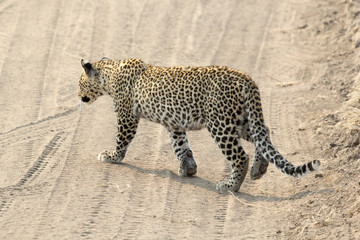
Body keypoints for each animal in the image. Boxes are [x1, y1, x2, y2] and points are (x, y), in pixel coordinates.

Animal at [78, 57, 320, 192]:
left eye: (80, 83)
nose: (79, 96)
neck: (110, 74)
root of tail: (247, 79)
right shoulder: (174, 124)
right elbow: (181, 146)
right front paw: (188, 169)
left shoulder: (127, 117)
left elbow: (121, 140)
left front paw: (112, 156)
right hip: (240, 120)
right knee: (265, 135)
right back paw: (258, 170)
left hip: (220, 124)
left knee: (241, 156)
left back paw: (231, 186)